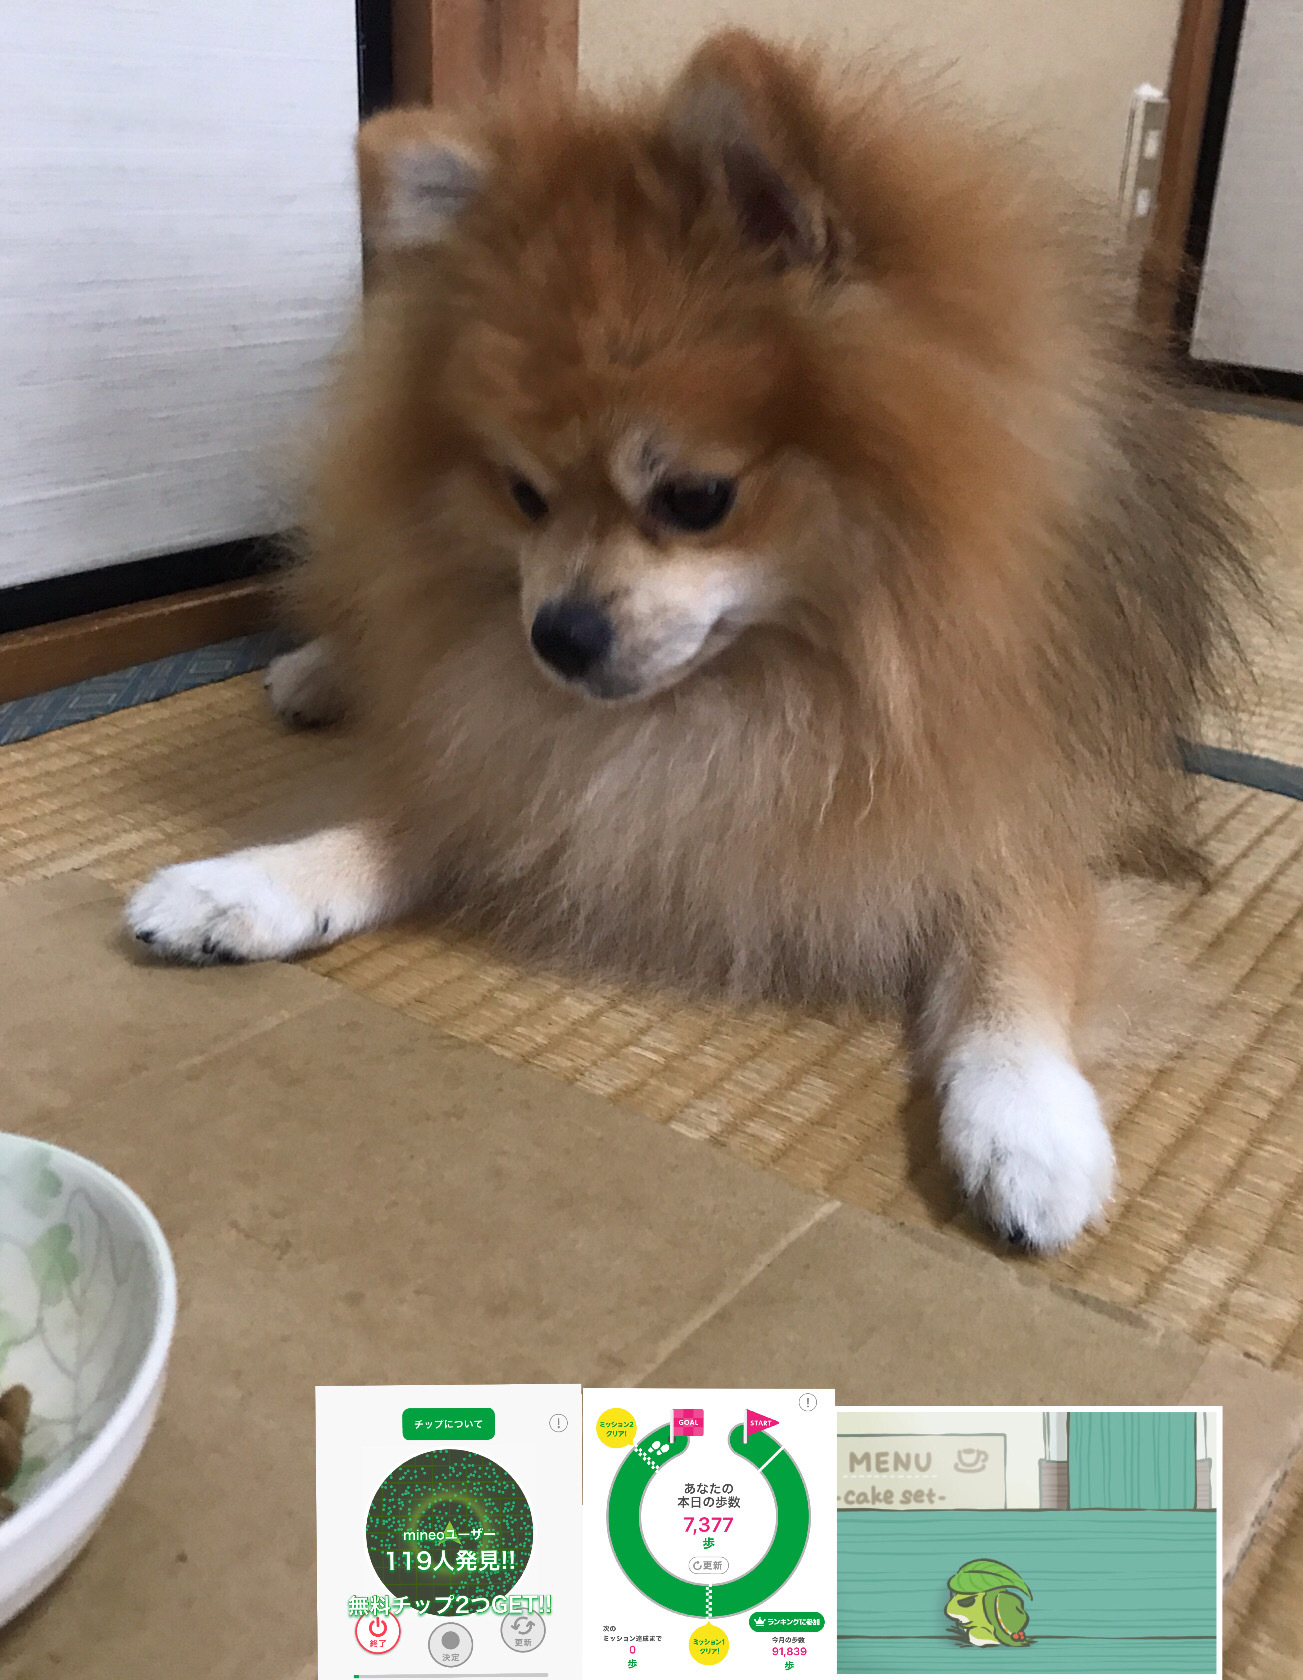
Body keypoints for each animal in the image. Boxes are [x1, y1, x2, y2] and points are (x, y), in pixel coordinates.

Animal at [127, 31, 1258, 1253]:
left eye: (696, 498)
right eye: (524, 496)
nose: (556, 634)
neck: (792, 681)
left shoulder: (1020, 793)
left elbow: (1022, 947)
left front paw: (1028, 1124)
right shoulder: (534, 768)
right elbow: (402, 818)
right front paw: (245, 885)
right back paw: (323, 671)